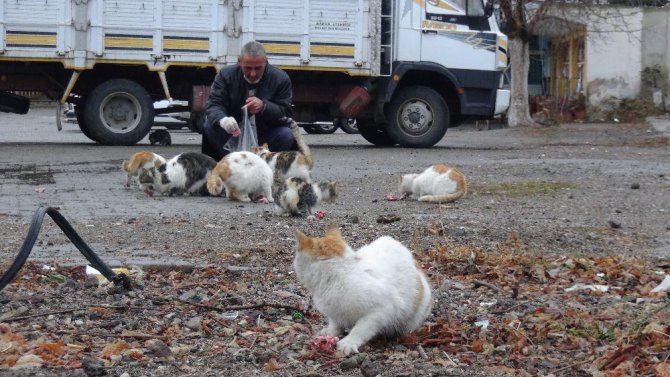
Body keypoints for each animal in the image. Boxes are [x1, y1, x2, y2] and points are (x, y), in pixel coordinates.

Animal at [296, 226, 436, 356]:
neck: (339, 274)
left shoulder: (380, 311)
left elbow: (360, 329)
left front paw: (349, 342)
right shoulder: (334, 313)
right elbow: (335, 323)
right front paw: (331, 332)